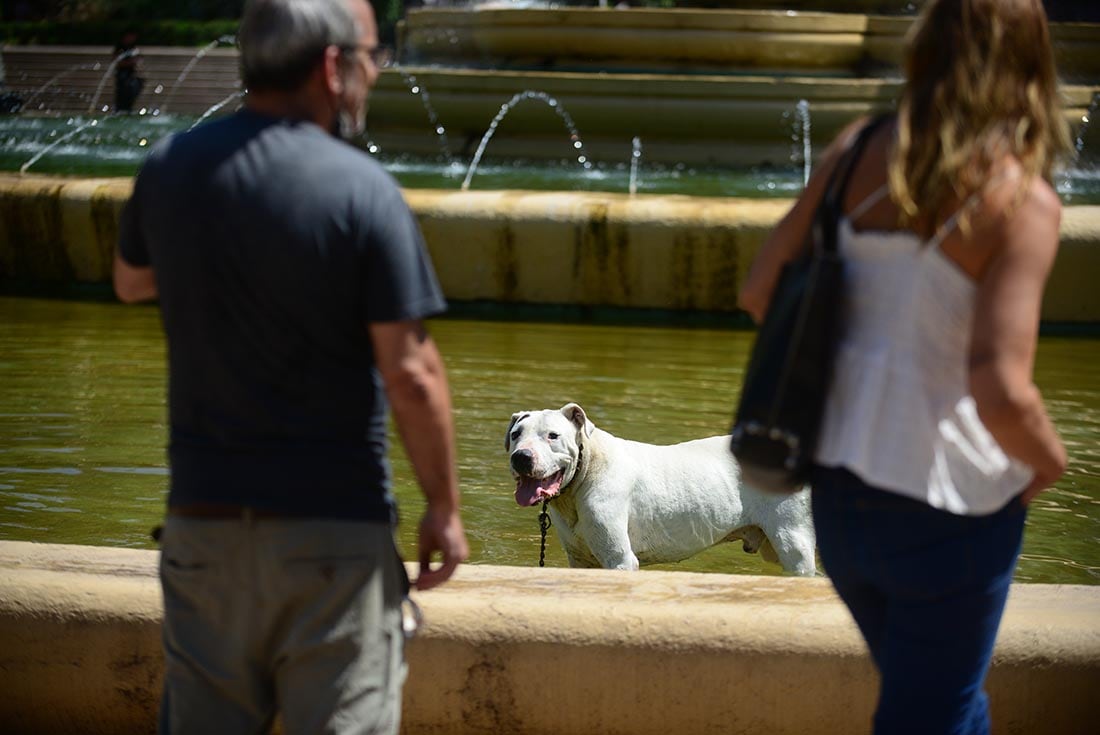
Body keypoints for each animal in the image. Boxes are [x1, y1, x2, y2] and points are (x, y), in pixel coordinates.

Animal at [506, 402, 818, 572]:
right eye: (516, 434)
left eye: (553, 436)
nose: (521, 457)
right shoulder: (580, 561)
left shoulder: (620, 560)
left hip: (794, 543)